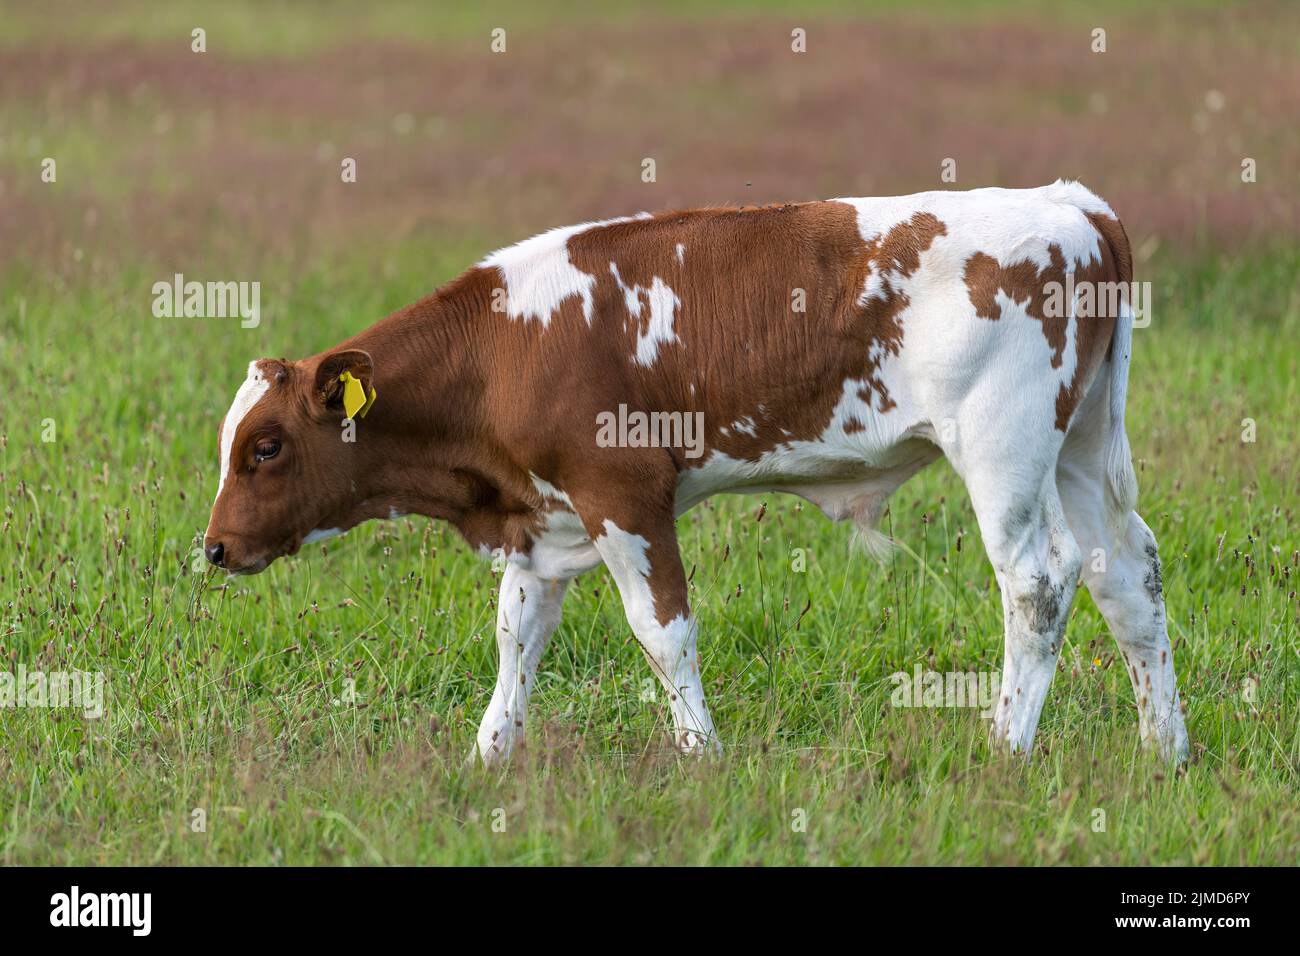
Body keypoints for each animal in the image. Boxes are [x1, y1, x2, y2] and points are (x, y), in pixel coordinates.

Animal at [200, 179, 1190, 764]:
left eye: (266, 448)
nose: (211, 548)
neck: (508, 350)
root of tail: (1071, 205)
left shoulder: (624, 494)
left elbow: (662, 629)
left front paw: (700, 756)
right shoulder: (543, 516)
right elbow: (517, 635)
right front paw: (490, 756)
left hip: (1003, 449)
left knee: (1039, 581)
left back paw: (1005, 748)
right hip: (1081, 446)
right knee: (1126, 572)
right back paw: (1164, 751)